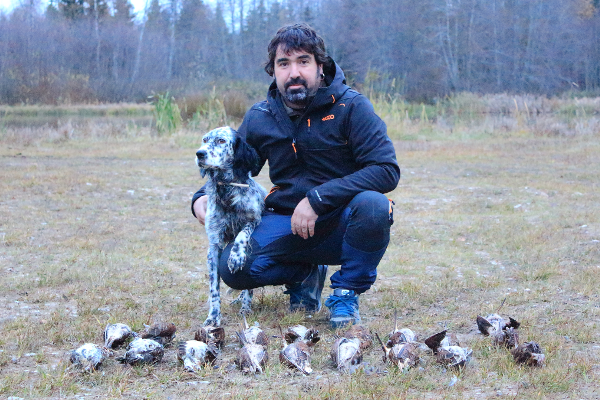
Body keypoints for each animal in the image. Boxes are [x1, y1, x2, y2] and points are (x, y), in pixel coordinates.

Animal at [196, 126, 266, 326]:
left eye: (221, 141)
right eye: (205, 140)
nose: (199, 153)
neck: (227, 189)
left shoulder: (254, 219)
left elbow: (242, 235)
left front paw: (236, 256)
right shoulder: (214, 247)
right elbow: (214, 289)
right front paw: (213, 316)